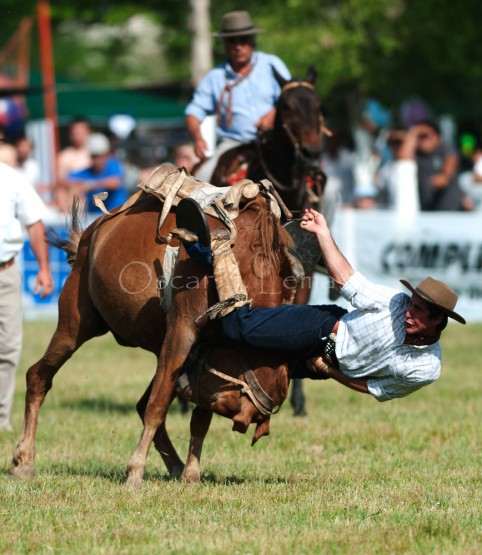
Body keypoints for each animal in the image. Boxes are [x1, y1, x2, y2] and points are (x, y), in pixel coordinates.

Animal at [12, 179, 298, 486]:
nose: (184, 385)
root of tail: (92, 231)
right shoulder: (181, 333)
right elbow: (157, 406)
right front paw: (135, 470)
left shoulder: (204, 352)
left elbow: (198, 420)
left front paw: (190, 473)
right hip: (75, 324)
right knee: (38, 377)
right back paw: (24, 459)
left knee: (140, 403)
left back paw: (175, 464)